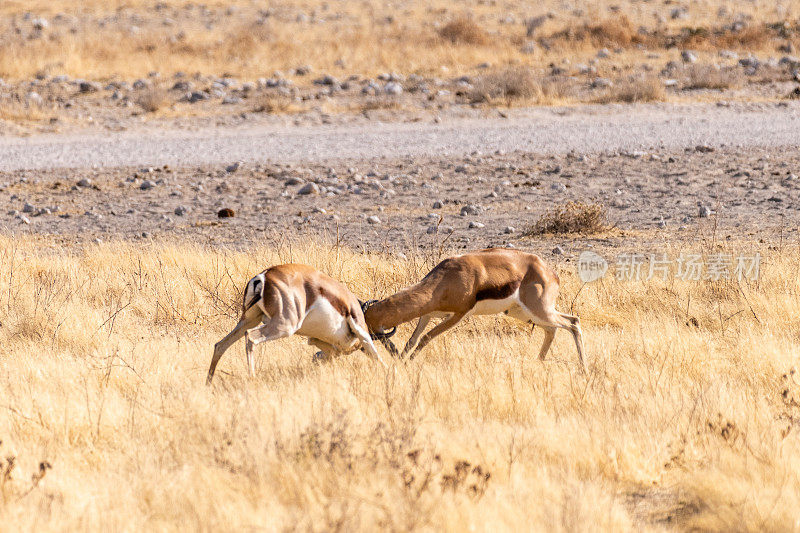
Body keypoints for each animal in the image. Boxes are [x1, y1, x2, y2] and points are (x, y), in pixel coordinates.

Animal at [208, 264, 386, 384]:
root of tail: (264, 276)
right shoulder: (360, 328)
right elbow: (377, 357)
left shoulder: (316, 340)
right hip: (284, 326)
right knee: (251, 337)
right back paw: (252, 378)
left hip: (249, 319)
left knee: (220, 345)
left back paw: (208, 383)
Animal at [364, 248, 588, 370]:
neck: (446, 279)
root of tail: (549, 272)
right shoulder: (427, 314)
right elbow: (413, 339)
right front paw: (401, 361)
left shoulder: (458, 315)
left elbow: (426, 337)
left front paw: (407, 363)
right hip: (522, 312)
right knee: (553, 328)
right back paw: (538, 362)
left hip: (539, 310)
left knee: (573, 323)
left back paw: (583, 368)